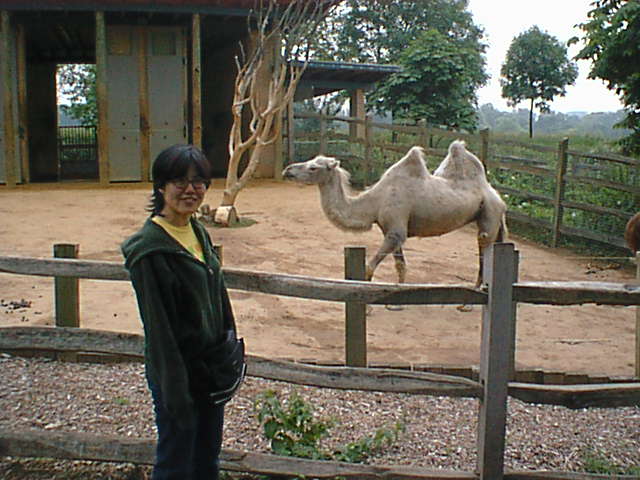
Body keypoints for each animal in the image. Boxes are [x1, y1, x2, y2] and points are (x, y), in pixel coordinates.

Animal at [282, 140, 508, 286]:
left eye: (313, 167)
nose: (287, 170)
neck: (375, 202)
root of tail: (499, 198)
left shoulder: (395, 229)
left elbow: (368, 267)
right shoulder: (391, 230)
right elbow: (400, 265)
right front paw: (396, 301)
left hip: (489, 215)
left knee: (484, 250)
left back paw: (469, 301)